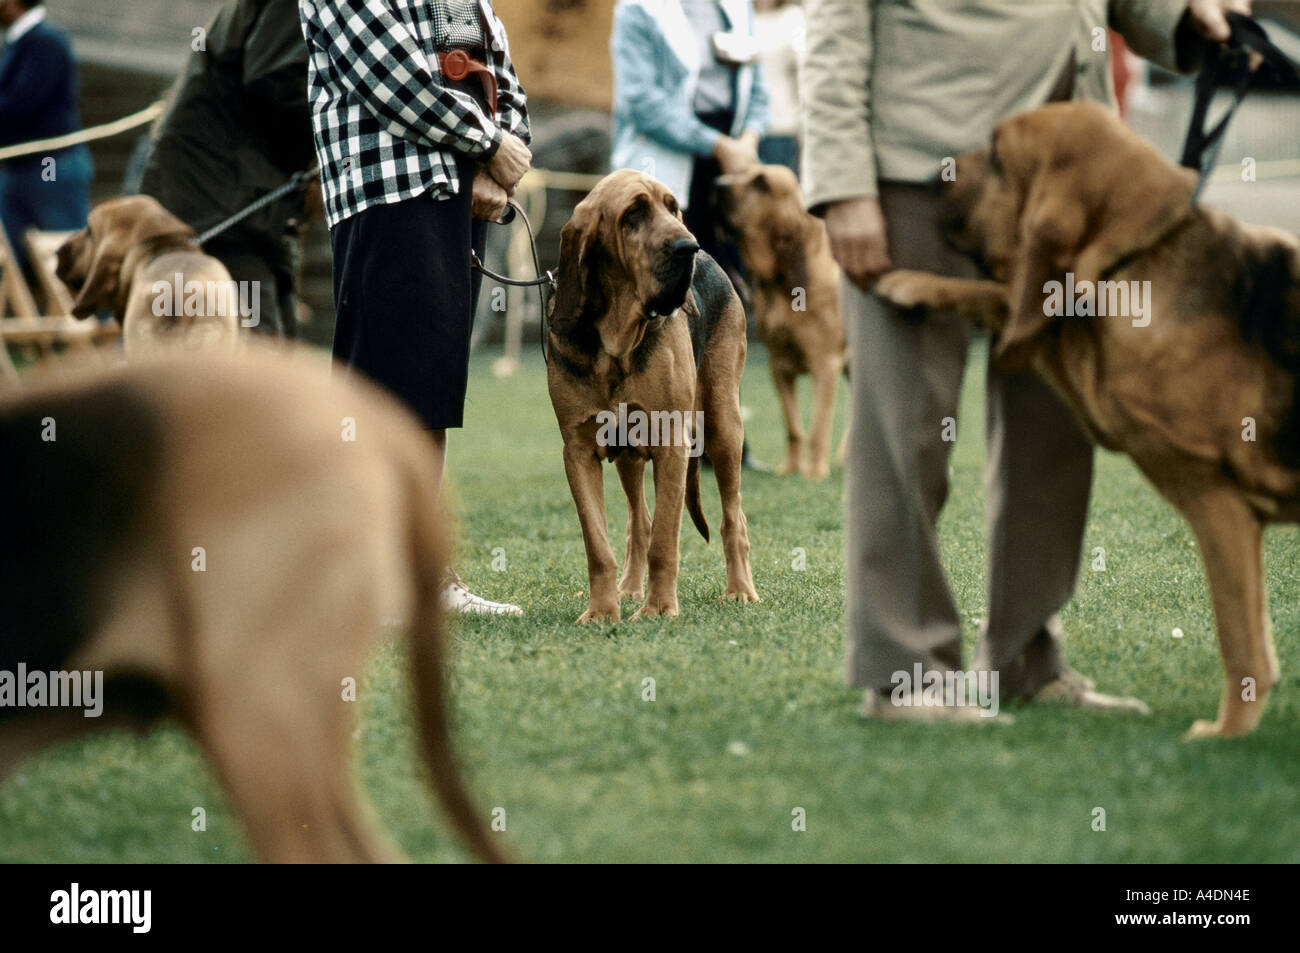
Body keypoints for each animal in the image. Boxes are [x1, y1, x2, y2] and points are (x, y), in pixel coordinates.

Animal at [543, 167, 759, 621]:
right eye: (633, 214)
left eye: (673, 207)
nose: (688, 246)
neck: (615, 342)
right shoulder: (578, 450)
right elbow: (598, 544)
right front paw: (602, 612)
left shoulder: (671, 444)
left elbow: (665, 539)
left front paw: (659, 608)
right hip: (628, 452)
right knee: (637, 522)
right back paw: (627, 589)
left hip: (723, 427)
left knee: (733, 517)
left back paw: (740, 591)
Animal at [717, 164, 847, 478]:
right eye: (742, 172)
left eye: (762, 183)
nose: (717, 184)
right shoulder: (778, 366)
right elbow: (793, 427)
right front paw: (790, 468)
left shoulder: (825, 364)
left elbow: (818, 427)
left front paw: (814, 473)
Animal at [868, 102, 1294, 738]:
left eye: (998, 155)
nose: (925, 177)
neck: (1140, 254)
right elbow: (1005, 298)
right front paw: (920, 283)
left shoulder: (1218, 503)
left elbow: (1242, 641)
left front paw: (1226, 735)